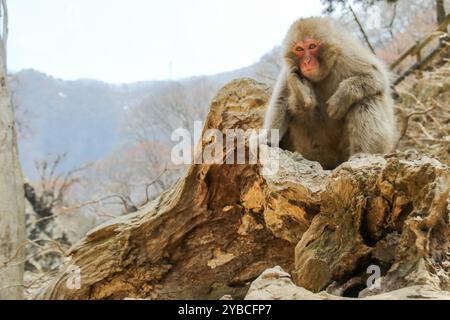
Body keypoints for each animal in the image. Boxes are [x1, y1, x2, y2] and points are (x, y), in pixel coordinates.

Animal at [262, 16, 396, 170]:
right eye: (299, 49)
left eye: (312, 46)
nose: (307, 62)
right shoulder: (290, 69)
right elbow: (281, 99)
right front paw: (268, 139)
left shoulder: (347, 55)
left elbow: (376, 76)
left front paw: (342, 97)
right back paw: (302, 94)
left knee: (366, 99)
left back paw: (361, 153)